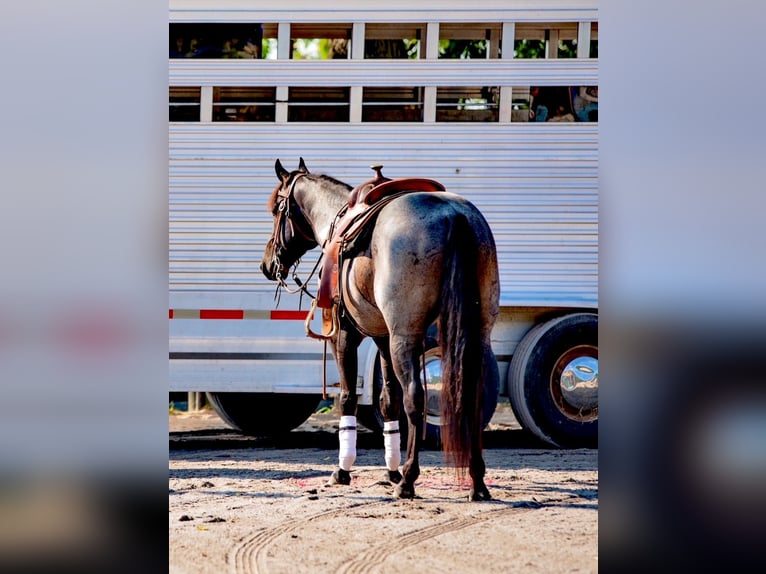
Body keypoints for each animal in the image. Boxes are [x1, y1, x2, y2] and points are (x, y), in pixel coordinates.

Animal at [262, 159, 504, 504]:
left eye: (275, 210)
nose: (267, 264)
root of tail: (453, 217)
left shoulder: (345, 336)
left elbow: (348, 397)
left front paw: (344, 470)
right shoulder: (382, 338)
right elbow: (388, 399)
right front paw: (391, 470)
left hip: (406, 336)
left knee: (415, 398)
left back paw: (410, 479)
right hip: (475, 335)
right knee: (470, 395)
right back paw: (476, 481)